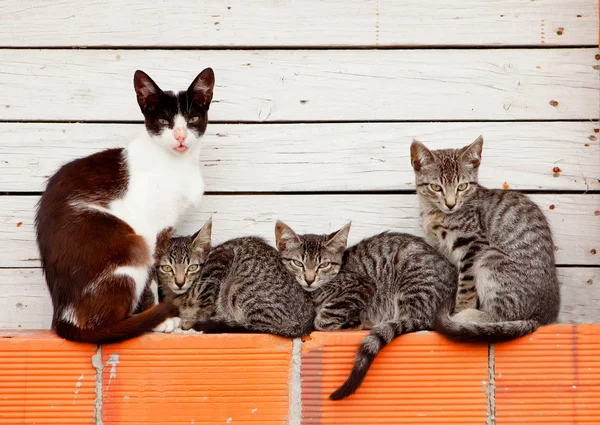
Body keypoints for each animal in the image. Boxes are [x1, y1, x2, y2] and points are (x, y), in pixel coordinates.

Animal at [155, 217, 314, 336]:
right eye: (167, 268)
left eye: (192, 267)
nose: (180, 282)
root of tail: (304, 323)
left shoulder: (221, 258)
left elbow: (206, 304)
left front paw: (192, 320)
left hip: (236, 288)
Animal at [276, 220, 454, 400]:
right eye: (298, 263)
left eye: (324, 265)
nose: (309, 279)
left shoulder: (362, 286)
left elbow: (323, 319)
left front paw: (352, 323)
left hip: (414, 287)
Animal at [410, 136, 560, 342]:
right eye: (436, 187)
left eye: (462, 186)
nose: (451, 204)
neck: (435, 213)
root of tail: (542, 318)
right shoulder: (441, 248)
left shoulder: (472, 243)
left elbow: (466, 286)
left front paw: (459, 310)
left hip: (490, 259)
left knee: (503, 315)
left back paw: (466, 317)